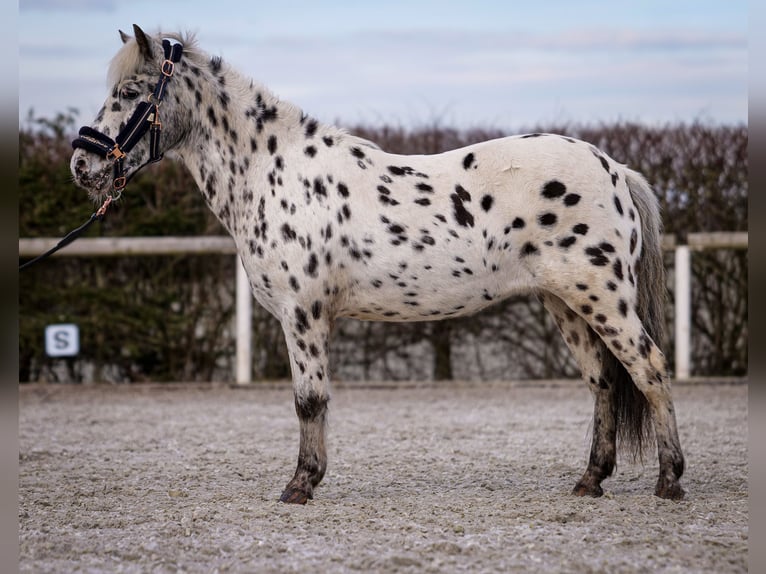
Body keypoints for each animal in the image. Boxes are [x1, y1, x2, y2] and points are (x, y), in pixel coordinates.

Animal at [69, 25, 688, 504]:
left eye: (129, 91)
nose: (81, 165)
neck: (275, 172)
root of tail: (614, 168)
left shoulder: (302, 314)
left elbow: (309, 400)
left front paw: (300, 485)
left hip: (603, 298)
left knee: (650, 370)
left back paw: (669, 482)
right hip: (566, 304)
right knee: (603, 382)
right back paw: (590, 481)